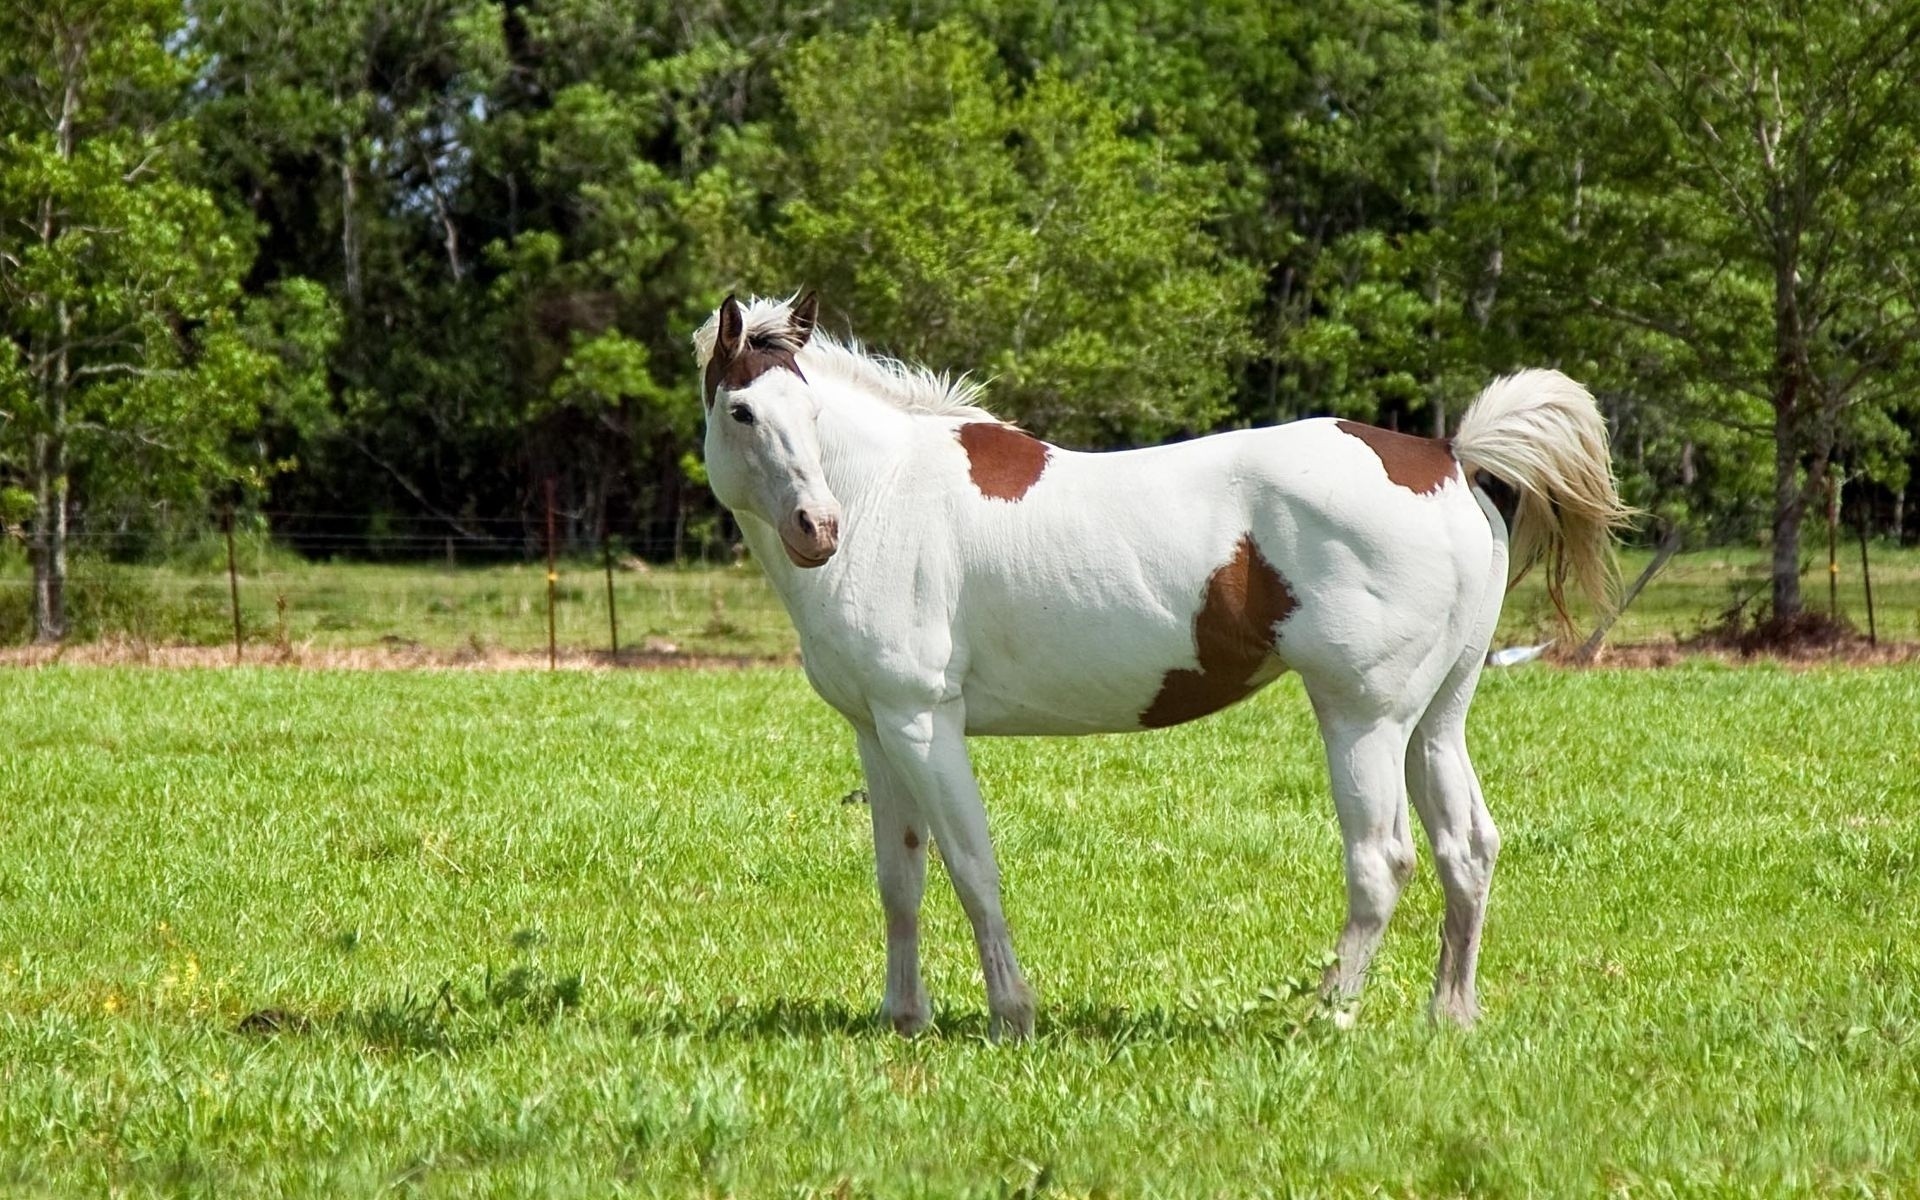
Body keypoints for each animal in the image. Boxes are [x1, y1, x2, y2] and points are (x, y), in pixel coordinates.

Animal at [698, 291, 1628, 1036]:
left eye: (811, 413)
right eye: (743, 411)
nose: (818, 528)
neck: (889, 493)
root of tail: (1445, 457)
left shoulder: (925, 723)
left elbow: (971, 867)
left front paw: (1011, 1016)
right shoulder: (877, 729)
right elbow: (902, 878)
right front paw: (905, 1018)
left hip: (1363, 717)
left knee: (1382, 862)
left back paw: (1326, 1015)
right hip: (1435, 720)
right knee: (1466, 850)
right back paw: (1450, 1015)